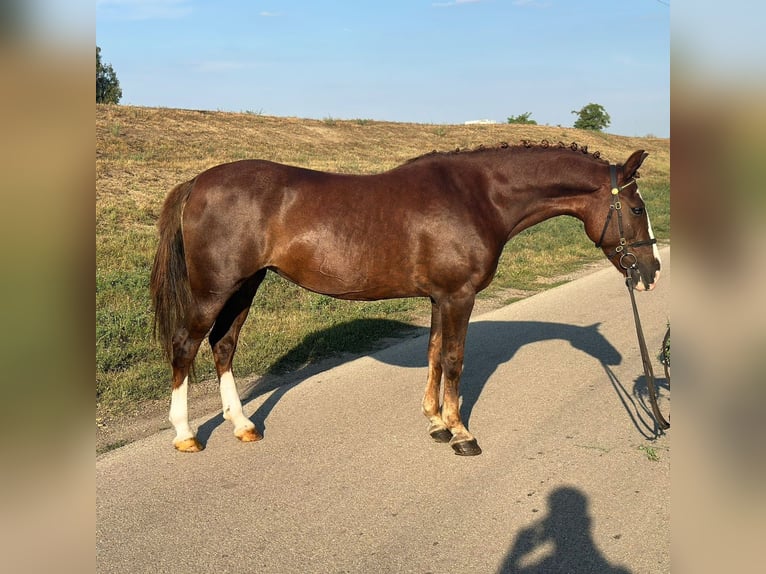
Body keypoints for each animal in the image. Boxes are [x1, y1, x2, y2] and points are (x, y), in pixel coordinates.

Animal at [150, 145, 660, 460]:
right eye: (637, 208)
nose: (651, 273)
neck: (479, 196)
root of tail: (196, 183)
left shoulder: (438, 297)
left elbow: (433, 353)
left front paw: (435, 423)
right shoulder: (458, 296)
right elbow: (454, 359)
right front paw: (460, 433)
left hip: (245, 286)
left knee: (223, 346)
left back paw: (242, 424)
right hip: (215, 289)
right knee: (184, 347)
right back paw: (186, 435)